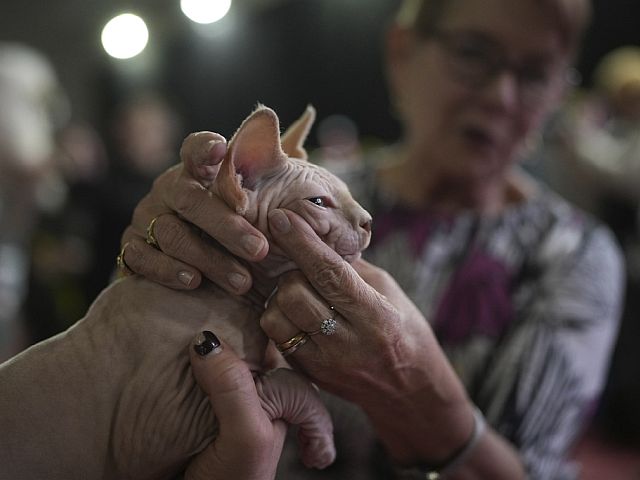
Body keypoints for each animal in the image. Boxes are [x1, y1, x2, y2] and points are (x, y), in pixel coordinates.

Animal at [0, 106, 372, 480]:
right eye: (318, 202)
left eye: (348, 192)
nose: (368, 221)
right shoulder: (164, 428)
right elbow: (292, 384)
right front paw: (321, 440)